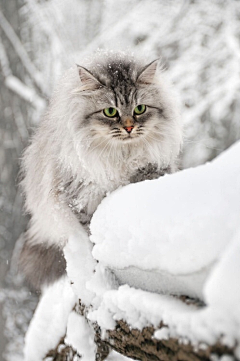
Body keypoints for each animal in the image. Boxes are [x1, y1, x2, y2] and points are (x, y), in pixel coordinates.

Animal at [19, 50, 182, 288]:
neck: (122, 157)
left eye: (140, 109)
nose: (129, 127)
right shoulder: (79, 202)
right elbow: (92, 239)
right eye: (110, 112)